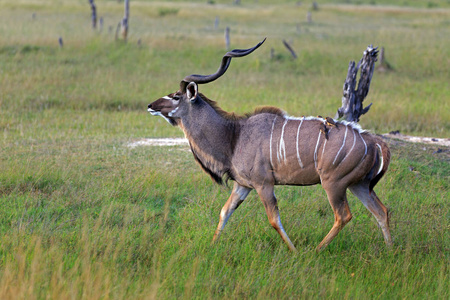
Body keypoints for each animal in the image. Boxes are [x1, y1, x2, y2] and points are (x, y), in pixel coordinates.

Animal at [147, 39, 390, 251]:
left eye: (176, 96)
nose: (150, 105)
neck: (234, 136)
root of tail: (374, 141)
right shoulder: (242, 185)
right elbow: (225, 212)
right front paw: (212, 245)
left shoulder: (263, 184)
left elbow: (274, 219)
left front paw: (294, 251)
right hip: (358, 185)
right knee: (381, 211)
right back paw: (391, 250)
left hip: (334, 184)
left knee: (343, 216)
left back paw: (317, 250)